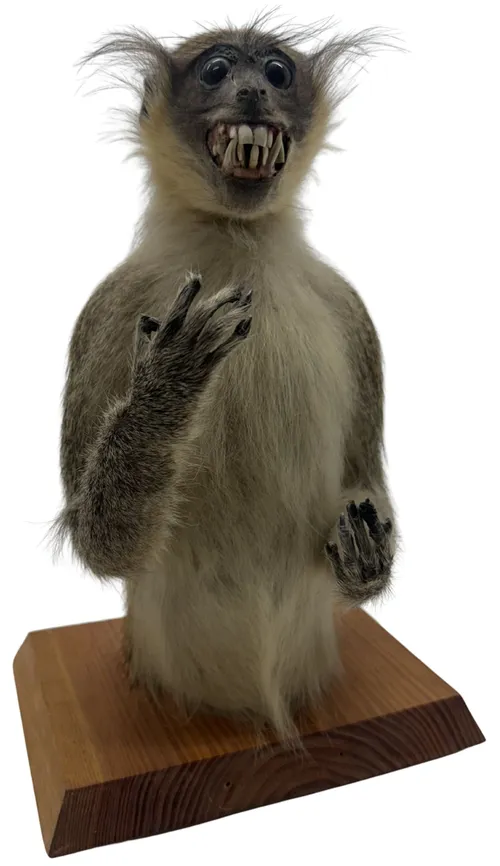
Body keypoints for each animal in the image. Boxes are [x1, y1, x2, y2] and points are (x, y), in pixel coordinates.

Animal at [55, 15, 397, 742]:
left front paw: (365, 559)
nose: (251, 93)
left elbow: (362, 487)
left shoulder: (351, 312)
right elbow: (100, 540)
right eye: (216, 71)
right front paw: (168, 384)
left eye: (276, 71)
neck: (237, 242)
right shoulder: (110, 308)